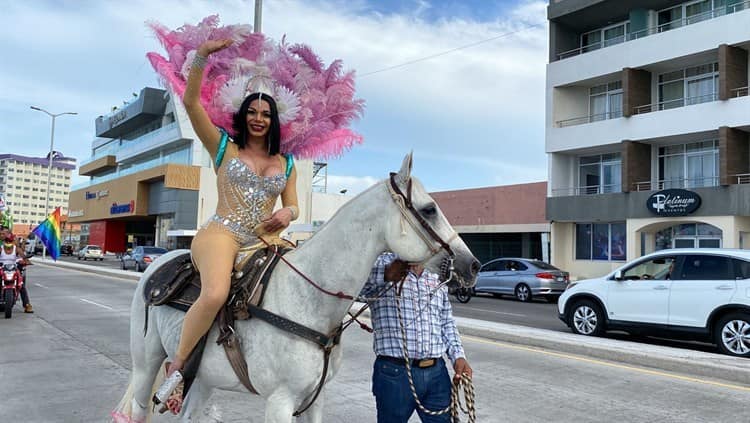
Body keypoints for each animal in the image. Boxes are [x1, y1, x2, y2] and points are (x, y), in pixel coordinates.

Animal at [114, 155, 482, 423]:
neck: (308, 301)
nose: (473, 265)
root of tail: (159, 266)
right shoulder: (280, 401)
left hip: (204, 377)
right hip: (147, 363)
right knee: (139, 408)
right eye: (429, 209)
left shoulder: (313, 400)